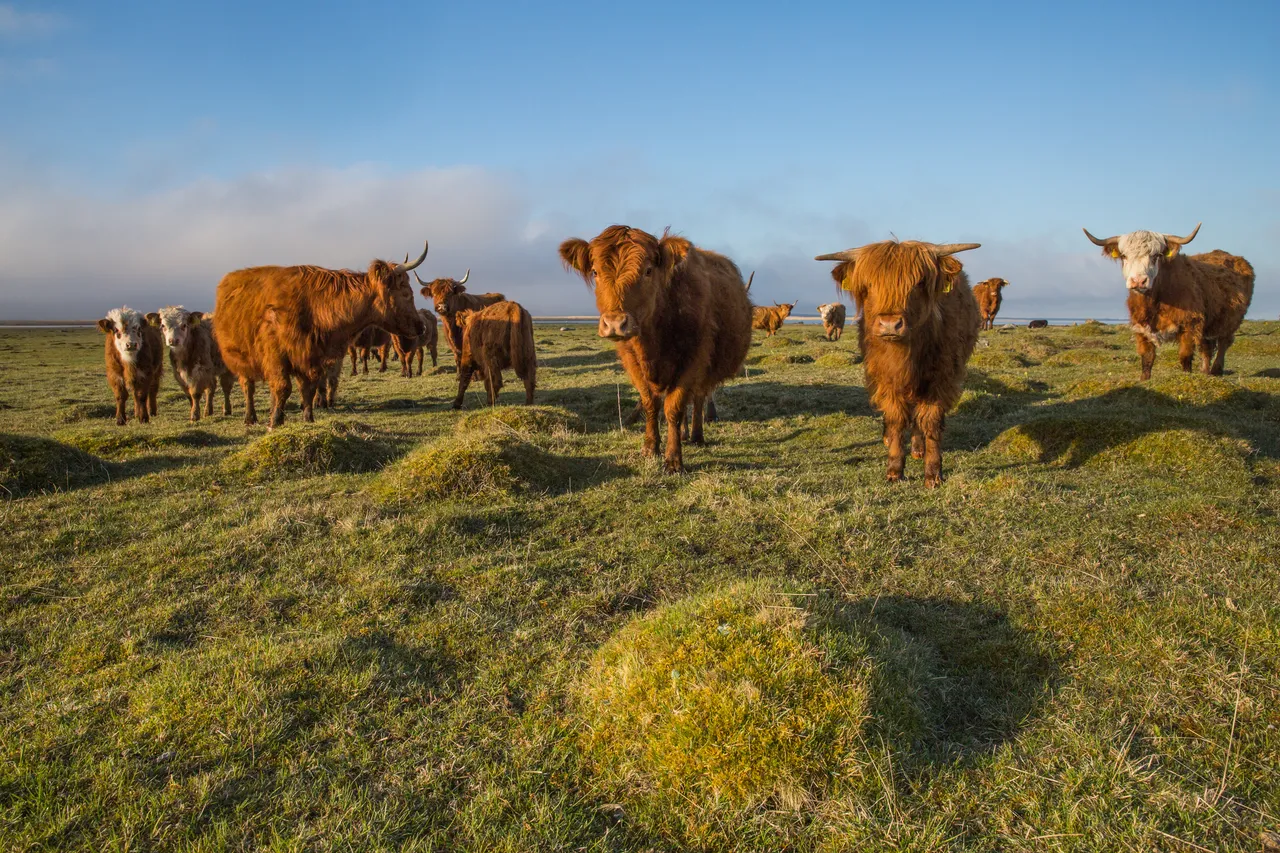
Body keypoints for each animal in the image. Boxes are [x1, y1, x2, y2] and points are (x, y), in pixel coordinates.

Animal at [213, 242, 429, 427]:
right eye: (406, 293)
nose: (421, 327)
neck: (317, 308)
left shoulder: (312, 357)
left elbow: (309, 388)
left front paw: (308, 419)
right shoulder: (277, 356)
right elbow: (283, 387)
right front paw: (275, 422)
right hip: (242, 358)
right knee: (248, 387)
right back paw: (250, 417)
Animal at [560, 225, 752, 473]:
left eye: (648, 271)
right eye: (595, 272)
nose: (615, 323)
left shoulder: (693, 360)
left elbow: (674, 408)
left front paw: (673, 460)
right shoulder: (632, 361)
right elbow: (651, 403)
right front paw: (650, 448)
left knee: (698, 399)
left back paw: (696, 436)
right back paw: (684, 434)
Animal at [816, 239, 981, 487]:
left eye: (919, 283)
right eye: (869, 284)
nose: (890, 324)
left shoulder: (942, 379)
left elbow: (931, 421)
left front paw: (933, 473)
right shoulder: (886, 378)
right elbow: (895, 418)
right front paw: (894, 470)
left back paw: (918, 449)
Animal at [1082, 224, 1255, 379]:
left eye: (1156, 256)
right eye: (1124, 256)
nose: (1138, 281)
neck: (1155, 300)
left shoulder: (1189, 325)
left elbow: (1185, 357)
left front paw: (1187, 378)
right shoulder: (1141, 328)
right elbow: (1147, 358)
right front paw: (1144, 380)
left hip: (1230, 321)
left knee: (1223, 343)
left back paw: (1216, 370)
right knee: (1206, 347)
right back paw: (1205, 372)